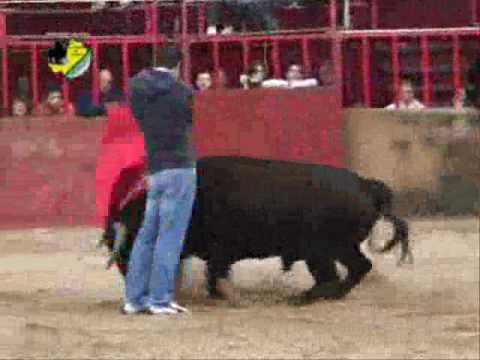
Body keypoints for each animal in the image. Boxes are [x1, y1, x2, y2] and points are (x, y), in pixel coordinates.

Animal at [102, 156, 412, 302]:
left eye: (131, 236)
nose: (126, 272)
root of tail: (365, 185)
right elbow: (213, 275)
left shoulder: (220, 251)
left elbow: (214, 274)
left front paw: (221, 295)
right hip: (326, 252)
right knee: (341, 274)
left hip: (329, 249)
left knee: (352, 270)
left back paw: (306, 298)